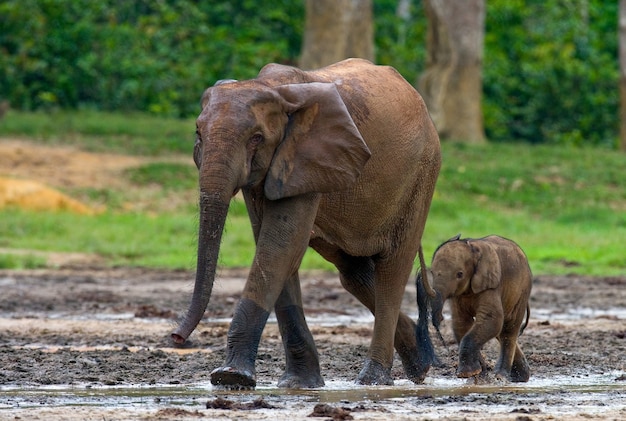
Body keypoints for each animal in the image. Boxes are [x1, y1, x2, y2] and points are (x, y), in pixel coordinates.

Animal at [172, 58, 438, 388]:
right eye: (198, 134)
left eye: (256, 138)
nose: (177, 337)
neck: (273, 90)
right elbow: (273, 247)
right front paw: (300, 384)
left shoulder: (307, 157)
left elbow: (279, 246)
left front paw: (231, 377)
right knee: (353, 273)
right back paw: (421, 363)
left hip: (421, 175)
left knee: (392, 270)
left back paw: (374, 379)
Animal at [420, 235, 532, 382]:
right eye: (432, 272)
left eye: (460, 274)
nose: (439, 319)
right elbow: (461, 323)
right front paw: (478, 373)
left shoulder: (491, 284)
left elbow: (491, 319)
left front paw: (468, 374)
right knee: (501, 331)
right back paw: (520, 377)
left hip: (522, 291)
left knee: (508, 329)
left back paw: (501, 376)